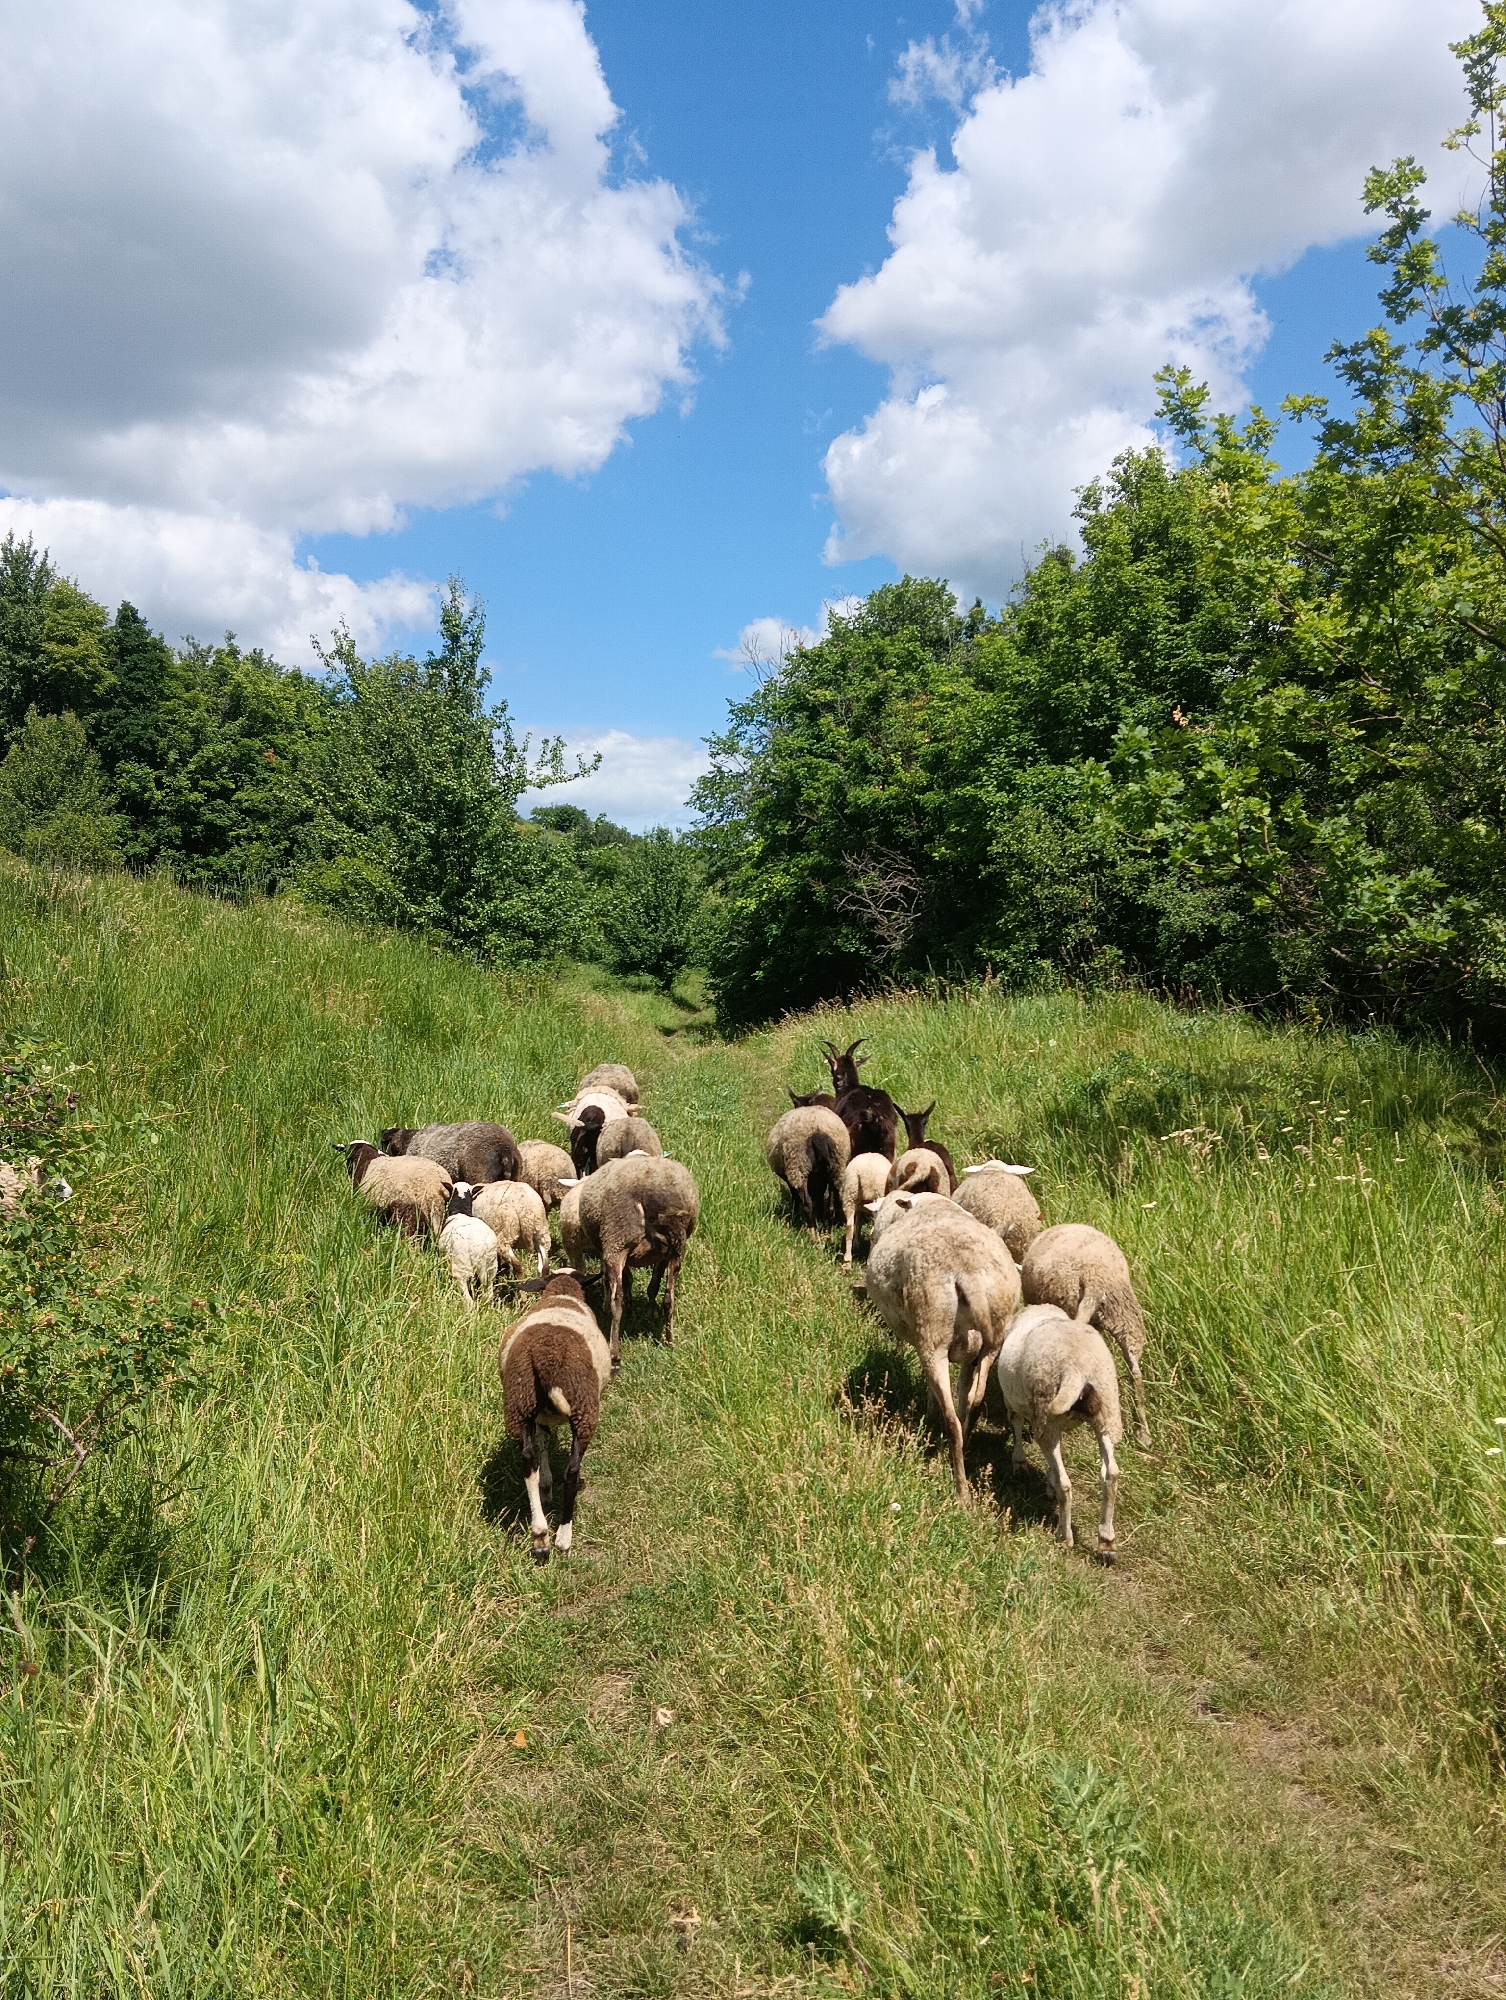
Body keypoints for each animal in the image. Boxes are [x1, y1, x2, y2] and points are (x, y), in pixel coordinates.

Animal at [499, 1272, 612, 1563]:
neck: (562, 1295)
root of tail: (545, 1359)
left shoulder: (538, 1417)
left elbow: (542, 1446)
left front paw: (546, 1486)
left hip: (519, 1403)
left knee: (528, 1462)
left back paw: (540, 1537)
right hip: (584, 1409)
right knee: (572, 1471)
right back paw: (563, 1538)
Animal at [560, 1153, 700, 1371]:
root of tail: (651, 1199)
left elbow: (628, 1282)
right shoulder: (662, 1255)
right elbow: (653, 1284)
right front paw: (649, 1308)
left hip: (617, 1241)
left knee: (617, 1300)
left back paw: (614, 1351)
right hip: (676, 1247)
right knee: (669, 1297)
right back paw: (669, 1339)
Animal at [862, 1191, 1021, 1501]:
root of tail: (968, 1273)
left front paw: (928, 1409)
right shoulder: (970, 1356)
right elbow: (965, 1391)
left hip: (932, 1333)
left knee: (951, 1419)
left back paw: (961, 1491)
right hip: (992, 1339)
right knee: (973, 1404)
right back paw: (963, 1452)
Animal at [995, 1303, 1122, 1558]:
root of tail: (1077, 1369)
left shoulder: (1014, 1403)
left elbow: (1015, 1425)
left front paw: (1020, 1464)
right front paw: (1048, 1481)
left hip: (1046, 1410)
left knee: (1066, 1483)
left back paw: (1065, 1536)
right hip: (1107, 1408)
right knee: (1110, 1473)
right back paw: (1106, 1541)